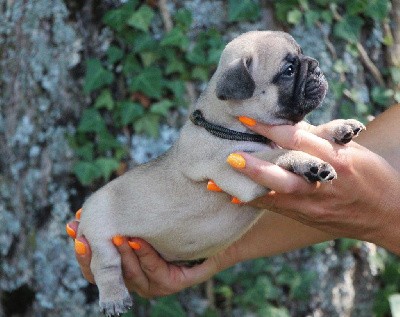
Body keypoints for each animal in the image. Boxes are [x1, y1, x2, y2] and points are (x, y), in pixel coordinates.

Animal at [75, 30, 366, 316]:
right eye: (289, 70)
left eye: (303, 56)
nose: (315, 65)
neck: (231, 124)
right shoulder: (232, 167)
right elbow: (278, 153)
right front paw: (309, 162)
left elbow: (306, 131)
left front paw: (337, 127)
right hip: (98, 231)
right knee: (105, 266)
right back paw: (113, 298)